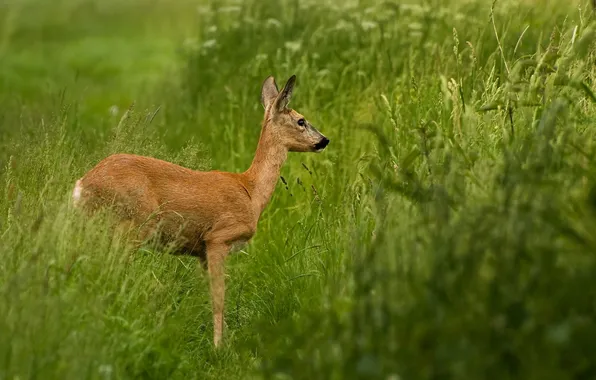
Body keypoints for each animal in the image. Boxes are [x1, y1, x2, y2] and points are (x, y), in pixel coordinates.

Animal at [72, 74, 330, 348]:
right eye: (301, 120)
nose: (324, 140)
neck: (251, 192)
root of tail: (81, 186)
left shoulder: (201, 253)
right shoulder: (218, 237)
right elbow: (219, 296)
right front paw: (218, 347)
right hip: (131, 225)